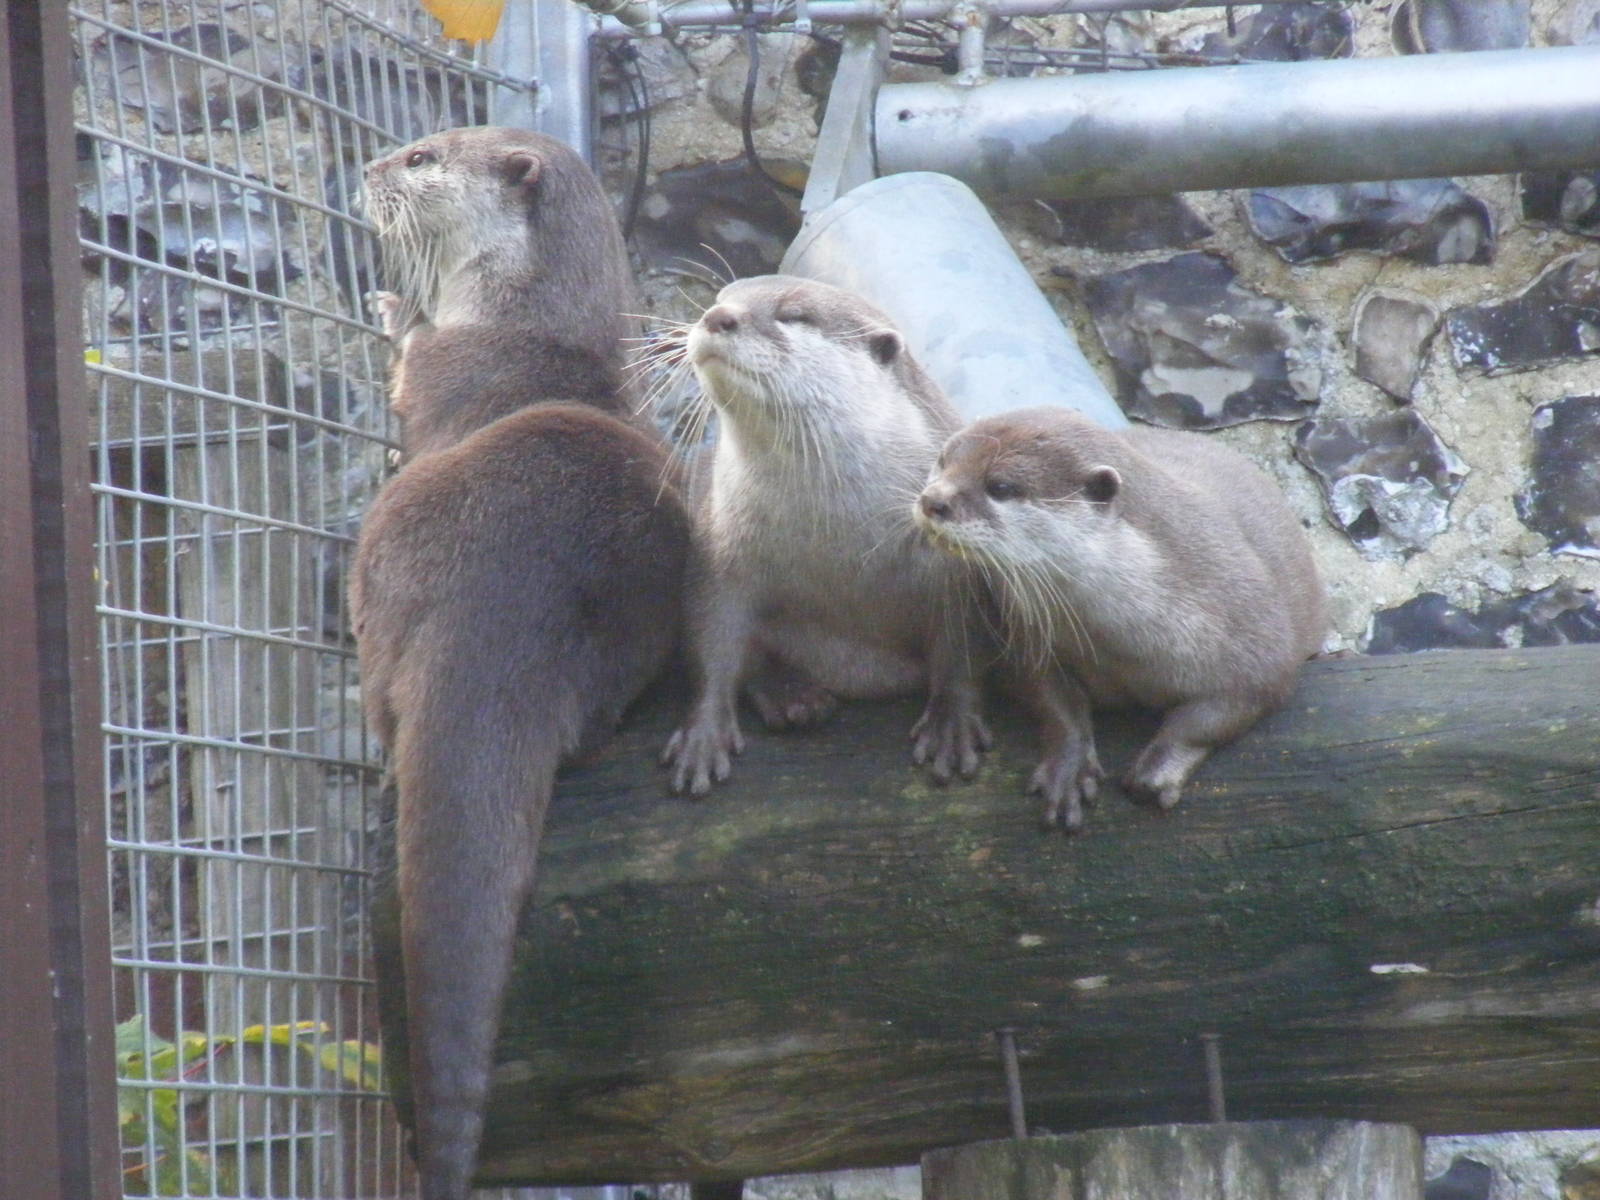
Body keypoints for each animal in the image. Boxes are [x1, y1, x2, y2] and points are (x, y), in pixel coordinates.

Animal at [352, 127, 689, 1200]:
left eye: (421, 158)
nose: (368, 167)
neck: (519, 315)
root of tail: (502, 606)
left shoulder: (447, 363)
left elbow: (411, 369)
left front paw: (392, 309)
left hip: (384, 561)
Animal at [660, 275, 992, 795]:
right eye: (720, 299)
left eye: (793, 315)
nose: (717, 317)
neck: (840, 545)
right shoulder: (718, 548)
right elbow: (710, 635)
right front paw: (703, 734)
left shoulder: (959, 565)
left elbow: (963, 645)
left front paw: (952, 727)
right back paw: (794, 696)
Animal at [915, 406, 1325, 832]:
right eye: (943, 460)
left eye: (1000, 486)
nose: (933, 500)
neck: (1122, 636)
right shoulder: (1030, 636)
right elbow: (1052, 700)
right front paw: (1069, 768)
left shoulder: (1254, 635)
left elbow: (1225, 709)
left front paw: (1158, 771)